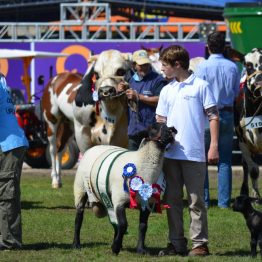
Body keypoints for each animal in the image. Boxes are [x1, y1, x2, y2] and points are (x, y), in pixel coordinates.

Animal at [42, 49, 131, 188]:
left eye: (121, 71)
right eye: (96, 74)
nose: (106, 91)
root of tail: (56, 78)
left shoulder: (122, 135)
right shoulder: (82, 131)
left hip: (68, 126)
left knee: (61, 149)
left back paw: (60, 180)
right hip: (51, 120)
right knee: (53, 149)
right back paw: (55, 180)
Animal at [72, 123, 177, 254]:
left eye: (167, 127)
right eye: (153, 128)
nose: (169, 134)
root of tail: (94, 147)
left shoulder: (146, 203)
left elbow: (142, 226)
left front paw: (140, 249)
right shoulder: (119, 200)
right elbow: (123, 224)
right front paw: (115, 248)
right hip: (81, 188)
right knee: (78, 218)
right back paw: (76, 244)